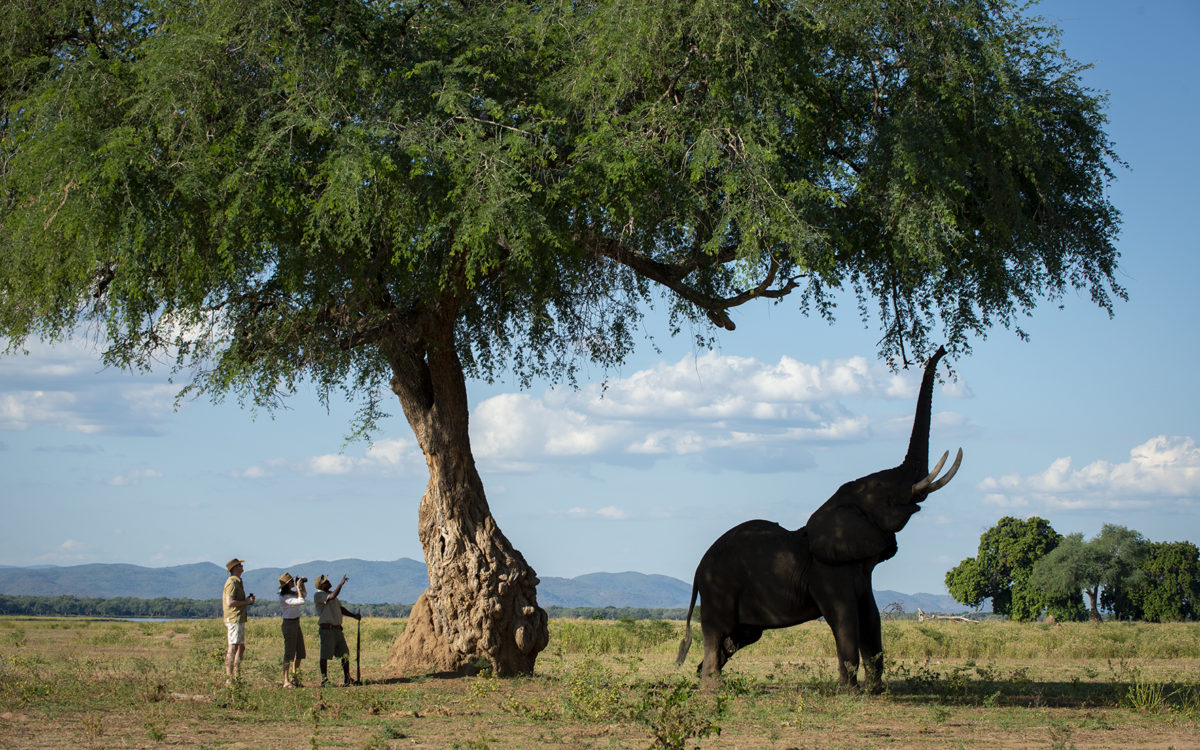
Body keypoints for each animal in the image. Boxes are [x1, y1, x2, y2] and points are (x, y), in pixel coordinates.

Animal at [676, 346, 962, 692]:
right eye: (883, 489)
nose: (943, 348)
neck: (836, 505)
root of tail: (697, 570)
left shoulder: (858, 571)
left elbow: (872, 619)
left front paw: (876, 691)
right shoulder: (827, 571)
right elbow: (846, 619)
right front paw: (850, 693)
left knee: (736, 638)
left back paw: (705, 679)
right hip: (719, 587)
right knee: (718, 634)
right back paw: (711, 689)